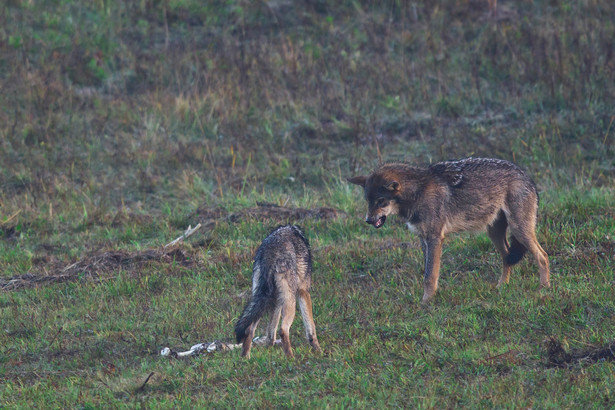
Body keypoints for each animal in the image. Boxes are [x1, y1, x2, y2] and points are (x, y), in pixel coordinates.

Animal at [235, 226, 322, 358]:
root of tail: (271, 251)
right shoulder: (303, 292)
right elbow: (311, 328)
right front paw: (318, 350)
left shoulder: (277, 300)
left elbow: (270, 333)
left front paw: (269, 347)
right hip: (291, 301)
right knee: (283, 330)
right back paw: (291, 357)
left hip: (261, 298)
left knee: (250, 329)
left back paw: (245, 358)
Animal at [348, 159, 552, 302]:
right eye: (368, 201)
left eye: (380, 201)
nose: (368, 220)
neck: (417, 192)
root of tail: (528, 178)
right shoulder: (424, 239)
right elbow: (428, 273)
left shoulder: (435, 238)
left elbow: (430, 276)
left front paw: (426, 302)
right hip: (494, 234)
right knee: (507, 259)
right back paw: (501, 287)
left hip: (519, 230)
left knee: (543, 256)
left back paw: (544, 288)